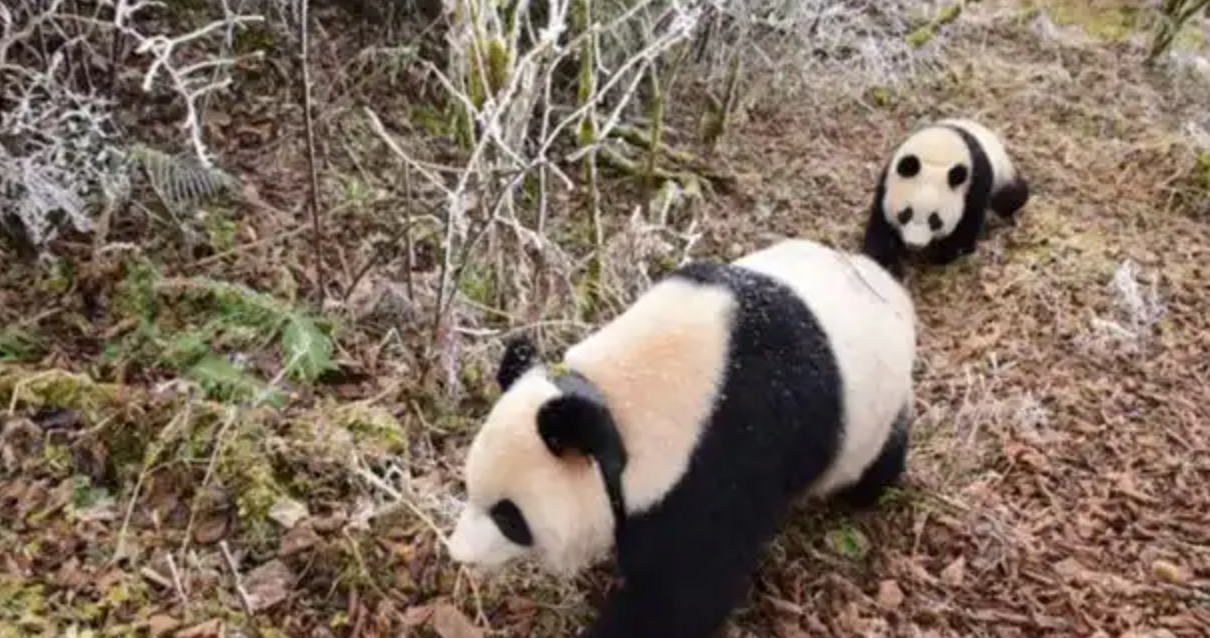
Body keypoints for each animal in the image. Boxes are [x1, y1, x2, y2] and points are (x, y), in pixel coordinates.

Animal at [445, 238, 918, 638]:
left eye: (510, 517)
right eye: (468, 488)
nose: (458, 555)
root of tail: (890, 286)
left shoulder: (725, 453)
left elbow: (682, 591)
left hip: (875, 413)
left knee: (878, 459)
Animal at [861, 117, 1030, 279]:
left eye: (935, 220)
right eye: (905, 214)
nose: (914, 245)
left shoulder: (975, 183)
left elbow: (966, 225)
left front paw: (938, 255)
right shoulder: (887, 179)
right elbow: (882, 224)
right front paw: (886, 263)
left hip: (1002, 173)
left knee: (1010, 197)